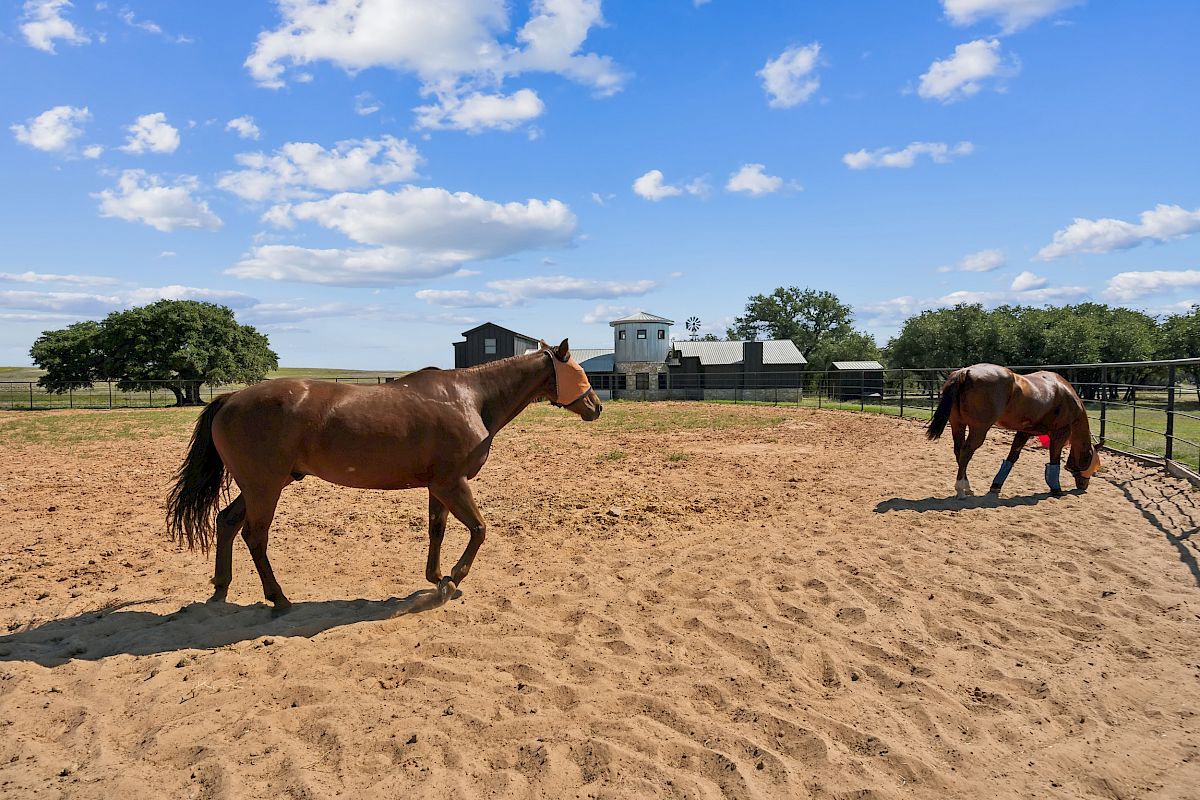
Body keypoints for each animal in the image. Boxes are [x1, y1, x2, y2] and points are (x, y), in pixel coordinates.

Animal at [166, 339, 601, 614]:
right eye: (578, 372)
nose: (596, 405)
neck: (470, 397)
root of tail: (229, 399)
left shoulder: (438, 485)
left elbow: (437, 530)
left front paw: (437, 577)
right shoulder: (452, 483)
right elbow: (479, 530)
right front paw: (454, 578)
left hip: (263, 485)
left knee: (226, 521)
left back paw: (221, 589)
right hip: (265, 488)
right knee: (254, 536)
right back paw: (279, 599)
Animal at [926, 363, 1101, 498]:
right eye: (1094, 464)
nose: (1084, 485)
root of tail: (965, 372)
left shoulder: (1025, 432)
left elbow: (1012, 457)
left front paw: (996, 485)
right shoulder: (1060, 433)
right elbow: (1054, 460)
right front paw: (1056, 488)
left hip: (958, 425)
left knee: (958, 451)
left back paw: (967, 487)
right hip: (979, 429)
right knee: (966, 452)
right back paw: (961, 489)